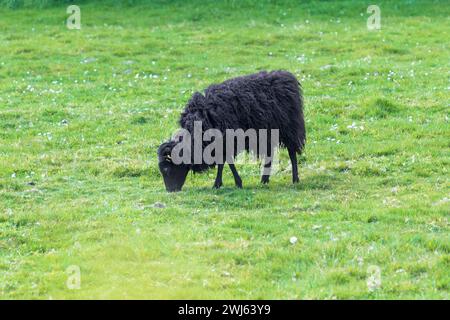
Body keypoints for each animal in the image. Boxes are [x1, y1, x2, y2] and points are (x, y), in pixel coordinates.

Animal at [157, 70, 306, 192]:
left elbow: (226, 161)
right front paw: (222, 183)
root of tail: (288, 77)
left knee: (292, 153)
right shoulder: (219, 143)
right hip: (269, 133)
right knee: (270, 154)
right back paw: (264, 180)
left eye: (166, 169)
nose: (170, 191)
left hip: (289, 129)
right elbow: (224, 162)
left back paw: (295, 179)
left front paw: (230, 183)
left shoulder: (227, 140)